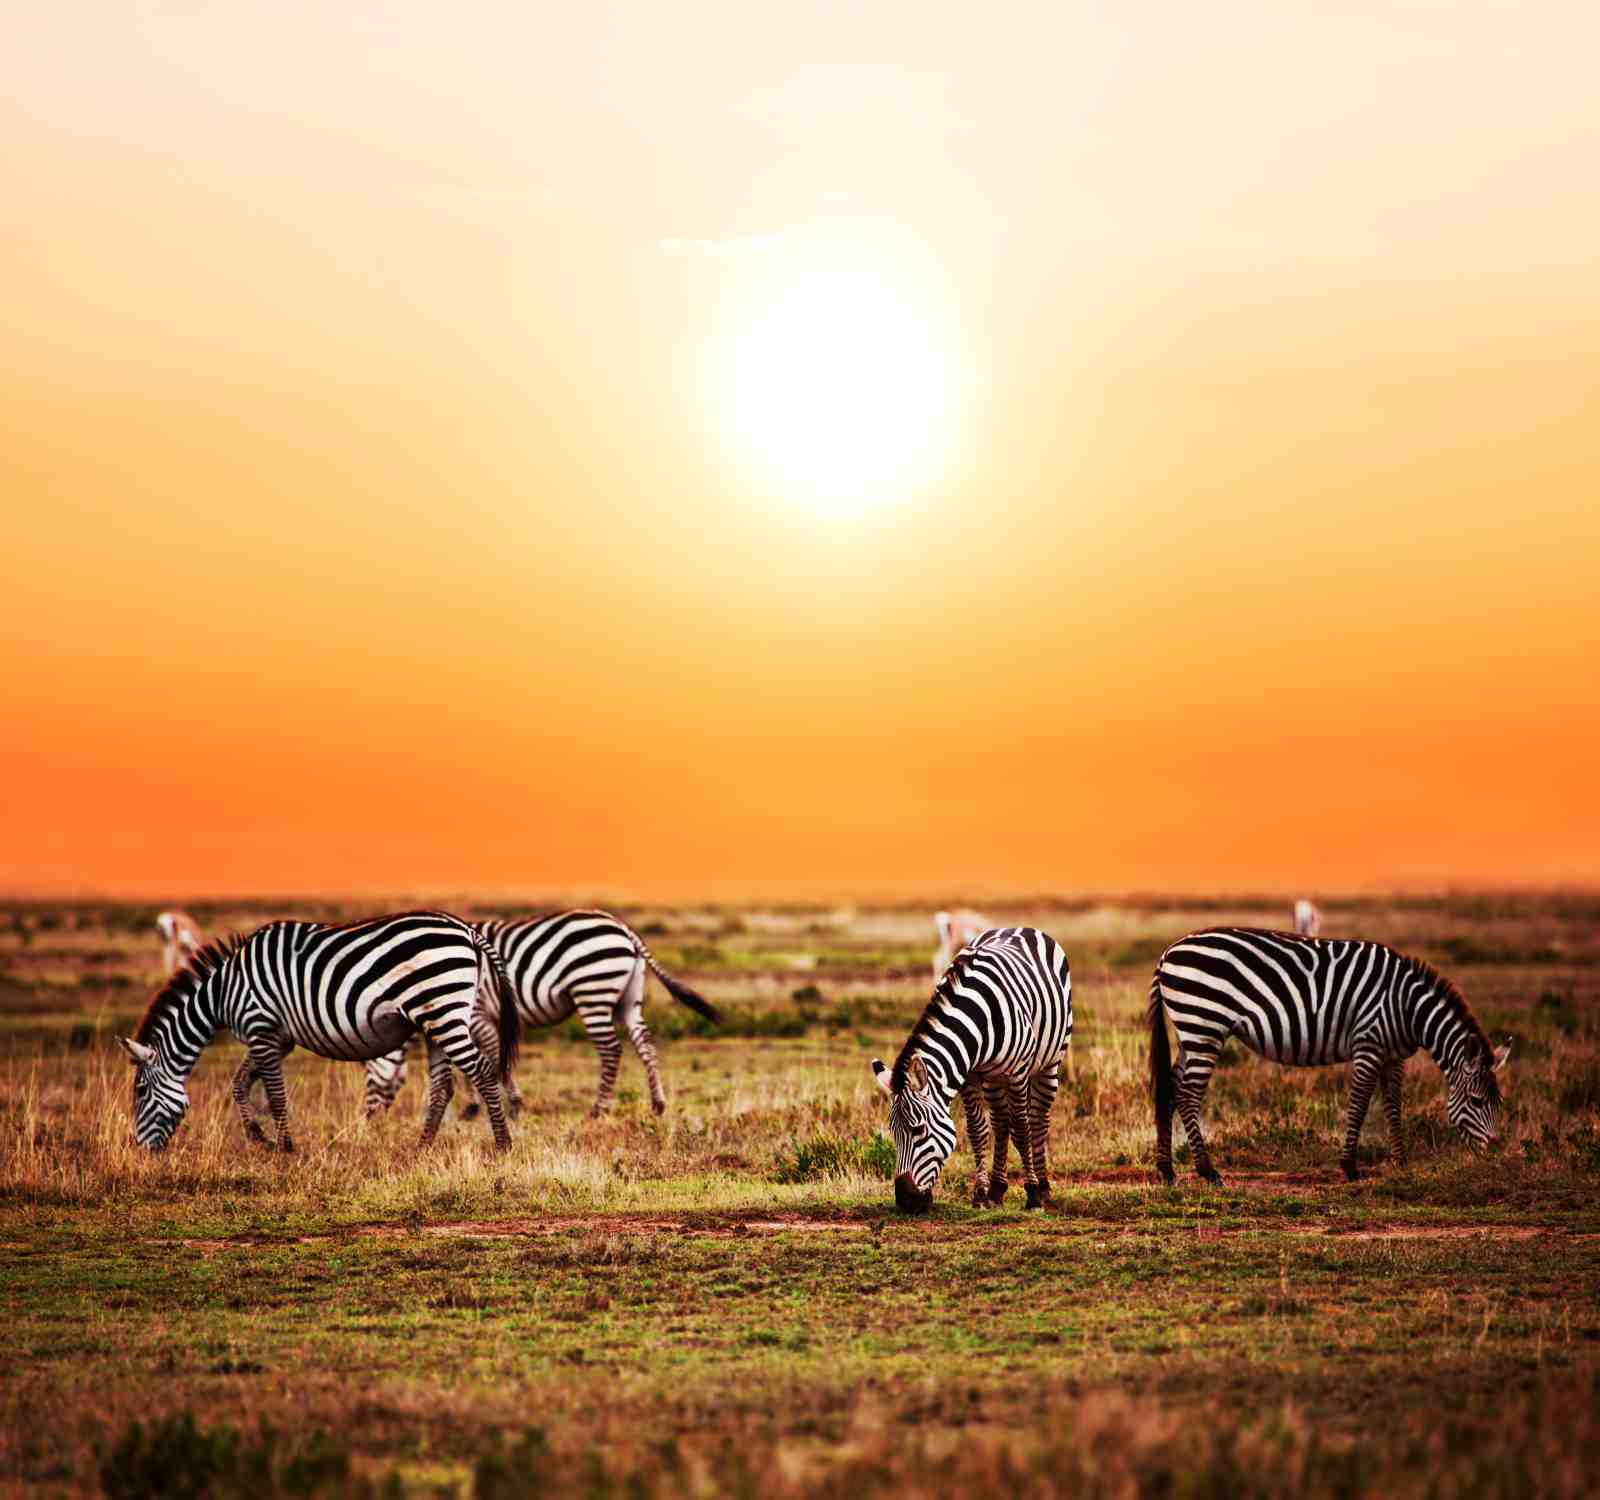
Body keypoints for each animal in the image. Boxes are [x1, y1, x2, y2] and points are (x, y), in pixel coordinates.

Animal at [119, 910, 520, 1153]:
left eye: (140, 1091)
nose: (142, 1151)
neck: (223, 992)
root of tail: (466, 929)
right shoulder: (277, 1038)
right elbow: (239, 1083)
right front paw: (259, 1138)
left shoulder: (261, 1026)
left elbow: (274, 1094)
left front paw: (285, 1147)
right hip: (434, 1019)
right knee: (442, 1087)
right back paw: (421, 1147)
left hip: (442, 1011)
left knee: (482, 1071)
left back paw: (502, 1145)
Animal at [363, 910, 720, 1120]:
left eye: (367, 1070)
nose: (369, 1120)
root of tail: (623, 927)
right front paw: (478, 1106)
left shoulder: (476, 1014)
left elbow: (487, 1059)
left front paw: (501, 1106)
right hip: (628, 998)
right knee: (644, 1043)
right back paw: (658, 1105)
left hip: (592, 990)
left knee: (611, 1050)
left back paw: (598, 1110)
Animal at [872, 926, 1072, 1213]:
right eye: (893, 1132)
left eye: (918, 1130)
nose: (905, 1201)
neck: (978, 1019)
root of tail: (1020, 928)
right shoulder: (970, 1074)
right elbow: (978, 1130)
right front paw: (980, 1195)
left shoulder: (1018, 1072)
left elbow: (1022, 1130)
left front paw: (1032, 1196)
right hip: (993, 1077)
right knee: (1000, 1121)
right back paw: (998, 1190)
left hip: (1050, 1062)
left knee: (1037, 1120)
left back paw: (1043, 1188)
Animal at [1148, 927, 1511, 1185]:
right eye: (1477, 1101)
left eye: (1499, 1102)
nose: (1496, 1151)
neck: (1407, 1007)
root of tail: (1168, 951)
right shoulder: (1369, 1043)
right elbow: (1359, 1105)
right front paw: (1350, 1167)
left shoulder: (1393, 1055)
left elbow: (1394, 1106)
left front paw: (1401, 1163)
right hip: (1203, 1024)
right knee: (1188, 1094)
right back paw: (1207, 1171)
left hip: (1191, 1029)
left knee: (1172, 1086)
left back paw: (1167, 1171)